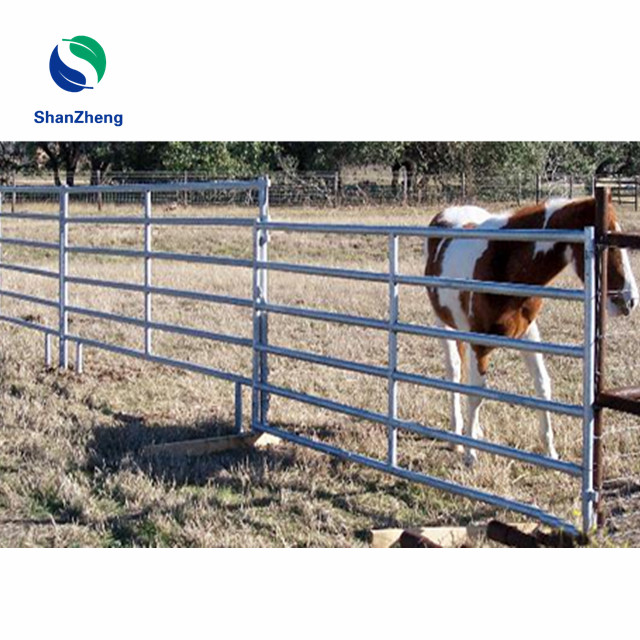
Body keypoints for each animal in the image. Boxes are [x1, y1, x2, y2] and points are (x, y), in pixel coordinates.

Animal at [422, 195, 636, 464]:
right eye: (605, 248)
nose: (630, 300)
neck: (504, 263)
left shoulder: (527, 334)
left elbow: (542, 385)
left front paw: (550, 451)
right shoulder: (479, 342)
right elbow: (476, 393)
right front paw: (470, 454)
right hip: (444, 324)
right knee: (453, 372)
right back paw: (457, 438)